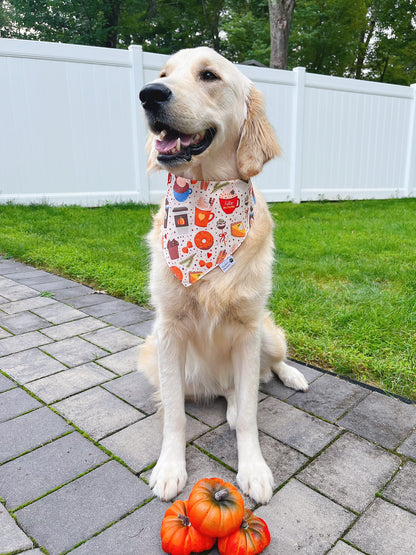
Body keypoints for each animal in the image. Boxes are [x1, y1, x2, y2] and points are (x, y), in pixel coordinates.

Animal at [138, 47, 308, 506]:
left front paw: (253, 469)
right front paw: (169, 468)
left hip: (267, 334)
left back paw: (293, 377)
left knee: (268, 370)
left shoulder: (248, 331)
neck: (206, 199)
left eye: (209, 76)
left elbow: (250, 413)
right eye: (164, 75)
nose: (149, 94)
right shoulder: (168, 332)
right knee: (228, 391)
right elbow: (175, 415)